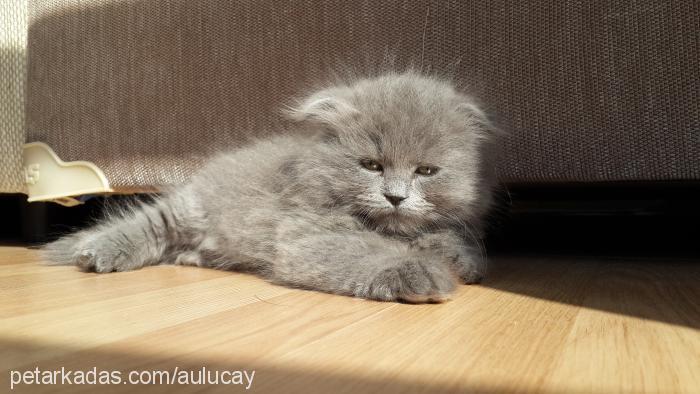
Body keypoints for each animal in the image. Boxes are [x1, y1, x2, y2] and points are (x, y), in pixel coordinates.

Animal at [45, 71, 498, 304]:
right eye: (371, 165)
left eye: (426, 171)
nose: (396, 196)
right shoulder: (306, 235)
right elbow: (366, 252)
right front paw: (418, 272)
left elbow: (447, 238)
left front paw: (459, 259)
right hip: (187, 210)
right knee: (145, 225)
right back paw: (96, 252)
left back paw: (194, 258)